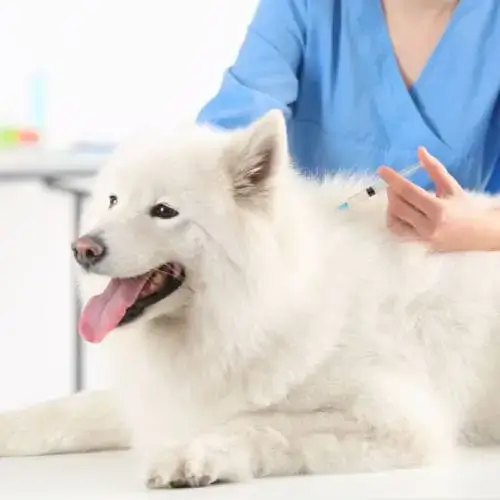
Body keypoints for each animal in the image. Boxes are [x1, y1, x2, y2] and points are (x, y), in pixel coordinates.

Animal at [0, 110, 500, 488]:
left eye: (163, 211)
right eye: (113, 201)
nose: (82, 249)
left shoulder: (397, 420)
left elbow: (261, 422)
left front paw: (192, 455)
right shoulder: (162, 400)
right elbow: (64, 410)